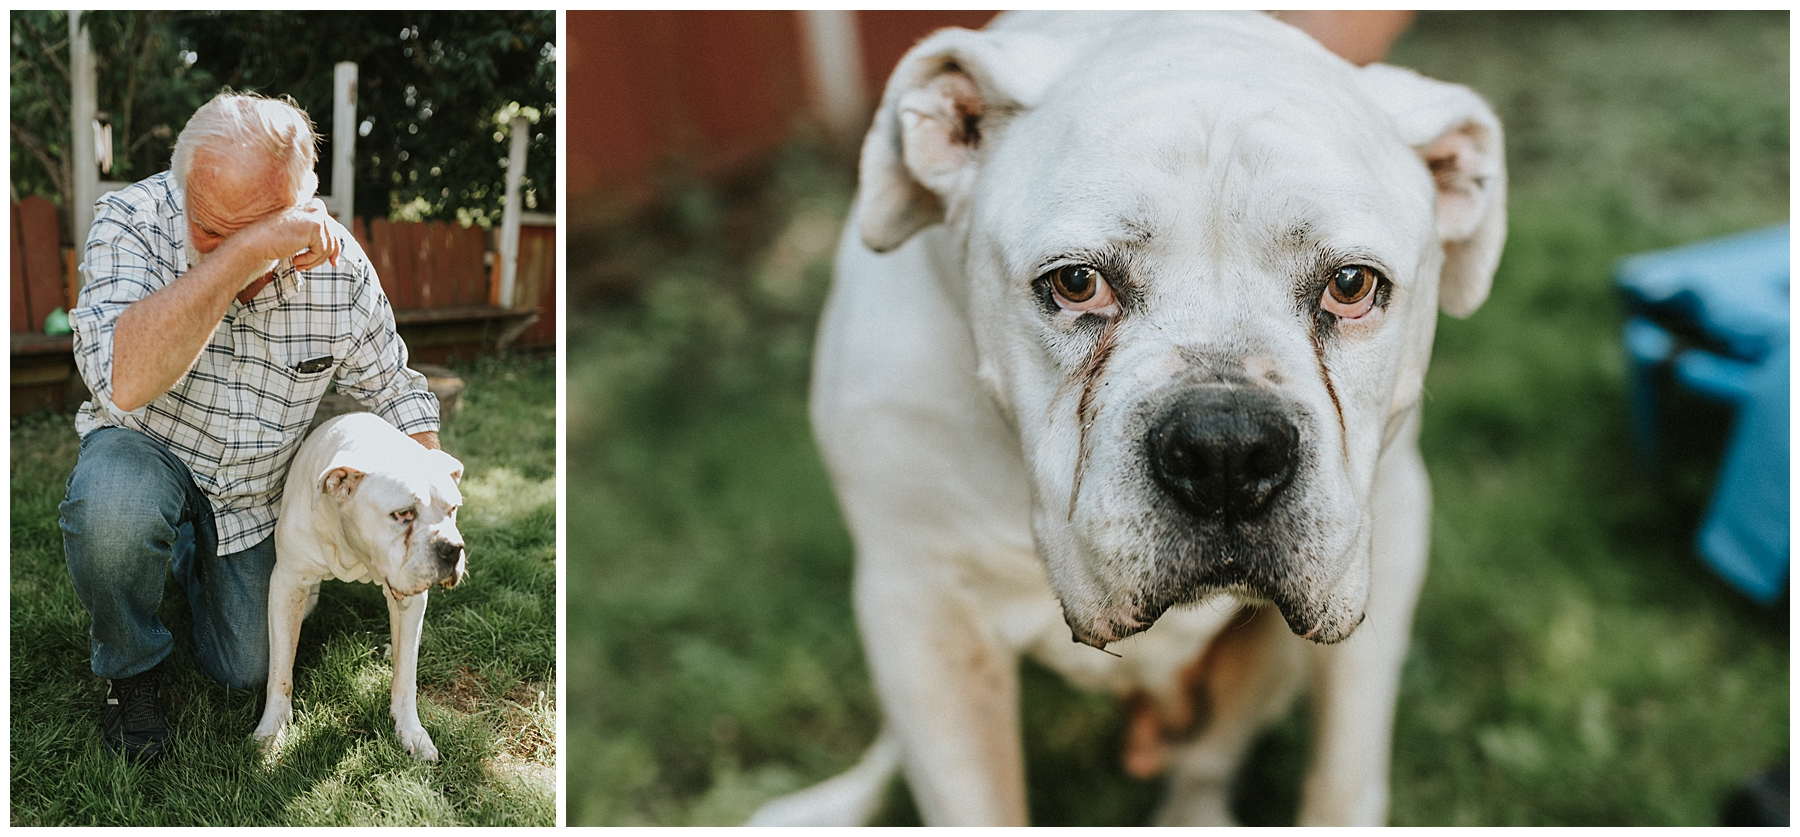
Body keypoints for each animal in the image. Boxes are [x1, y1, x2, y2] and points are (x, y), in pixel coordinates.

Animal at [250, 414, 468, 759]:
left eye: (453, 510)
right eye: (403, 513)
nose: (452, 548)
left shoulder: (410, 602)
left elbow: (406, 674)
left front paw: (411, 731)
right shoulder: (288, 581)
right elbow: (280, 671)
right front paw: (271, 729)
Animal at [745, 9, 1504, 824]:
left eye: (1353, 284)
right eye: (1077, 283)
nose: (1226, 448)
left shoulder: (1385, 545)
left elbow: (1341, 778)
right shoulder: (921, 605)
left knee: (1208, 758)